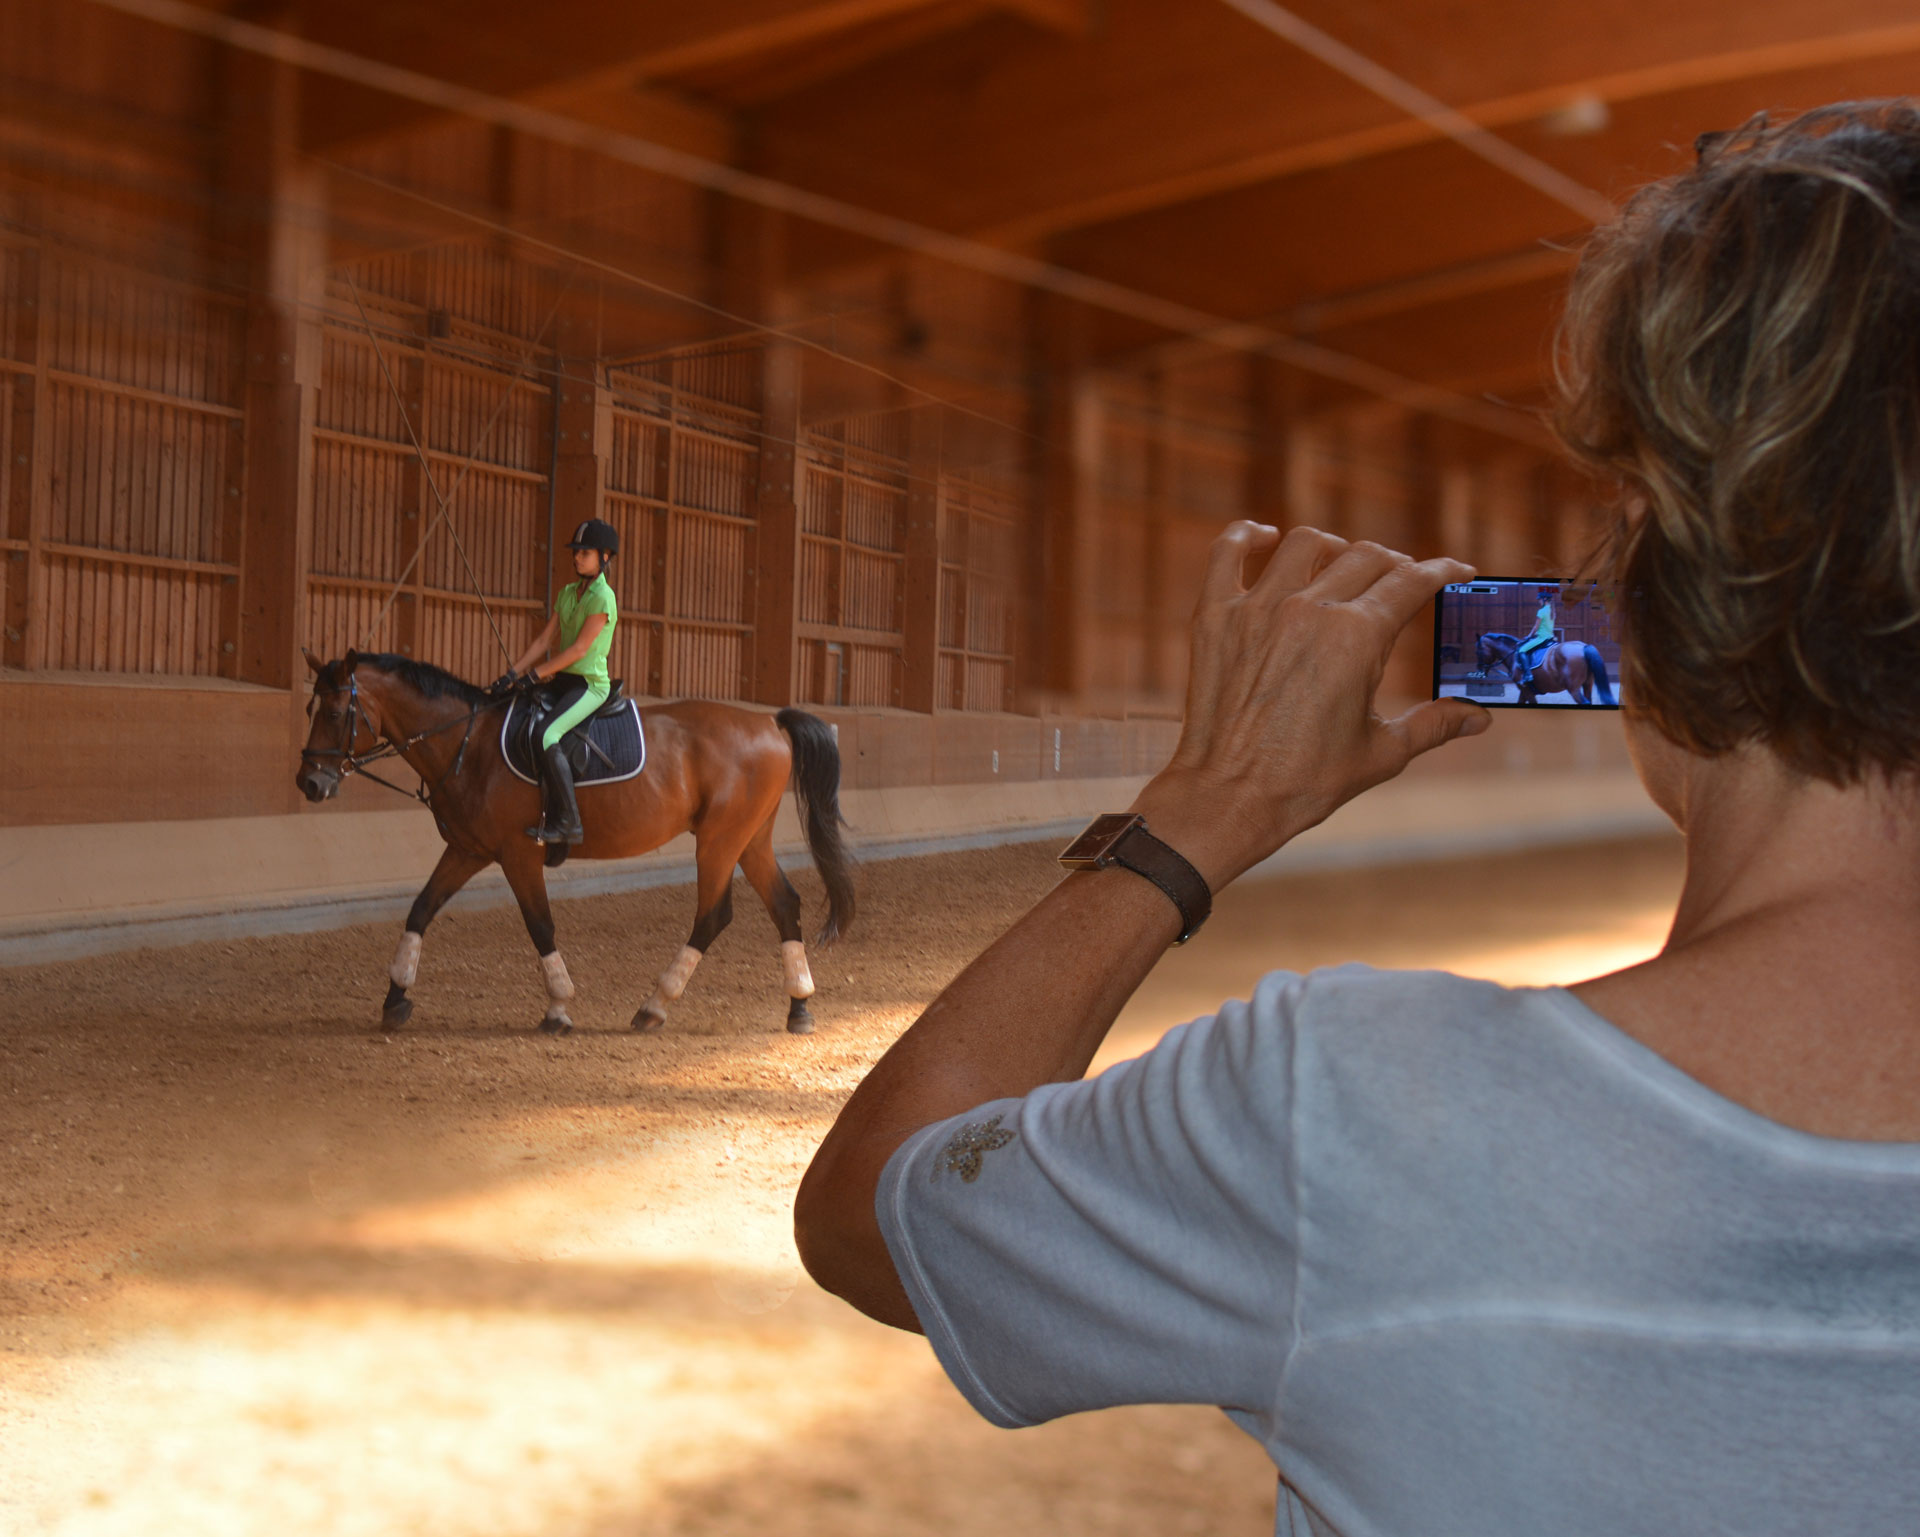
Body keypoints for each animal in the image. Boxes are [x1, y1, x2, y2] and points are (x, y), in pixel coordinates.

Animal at [293, 648, 856, 1028]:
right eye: (309, 711)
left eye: (337, 713)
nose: (310, 784)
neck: (467, 744)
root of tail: (769, 722)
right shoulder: (469, 849)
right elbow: (421, 909)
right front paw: (395, 998)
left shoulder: (519, 853)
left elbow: (540, 925)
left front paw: (558, 1007)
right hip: (749, 839)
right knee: (784, 903)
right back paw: (798, 1007)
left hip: (719, 840)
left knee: (714, 915)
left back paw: (654, 1005)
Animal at [1474, 633, 1612, 706]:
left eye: (1478, 651)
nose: (1480, 671)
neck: (1513, 655)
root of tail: (1584, 647)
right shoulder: (1524, 690)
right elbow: (1520, 702)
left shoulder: (1526, 690)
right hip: (1587, 684)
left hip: (1574, 689)